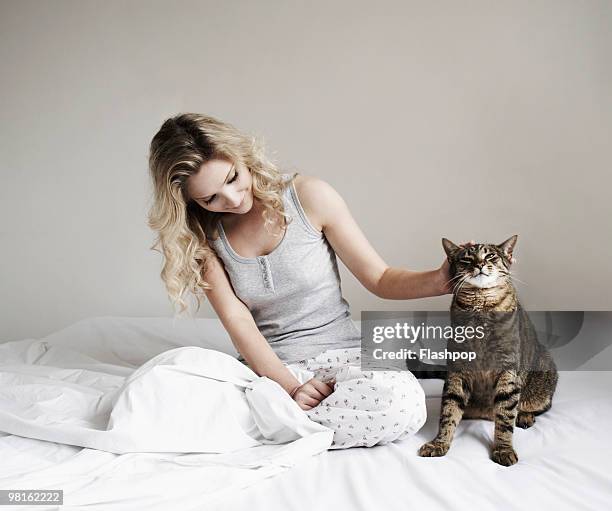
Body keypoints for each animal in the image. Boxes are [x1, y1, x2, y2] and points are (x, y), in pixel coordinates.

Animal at [418, 236, 556, 468]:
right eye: (466, 258)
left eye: (490, 255)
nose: (480, 264)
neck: (480, 306)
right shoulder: (457, 370)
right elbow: (448, 412)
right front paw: (440, 443)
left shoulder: (508, 371)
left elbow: (505, 418)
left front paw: (503, 449)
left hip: (545, 373)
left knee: (538, 406)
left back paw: (525, 416)